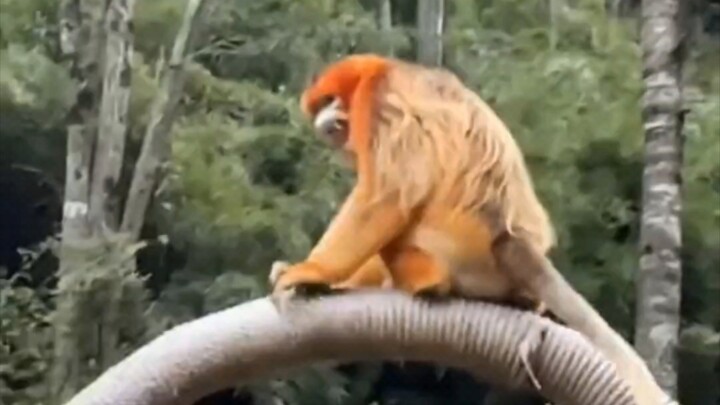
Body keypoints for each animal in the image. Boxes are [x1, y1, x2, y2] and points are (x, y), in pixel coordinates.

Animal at [270, 54, 672, 405]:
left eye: (329, 101)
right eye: (320, 106)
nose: (323, 120)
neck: (384, 71)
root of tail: (508, 239)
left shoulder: (379, 100)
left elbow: (388, 193)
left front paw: (311, 272)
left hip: (461, 254)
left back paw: (428, 282)